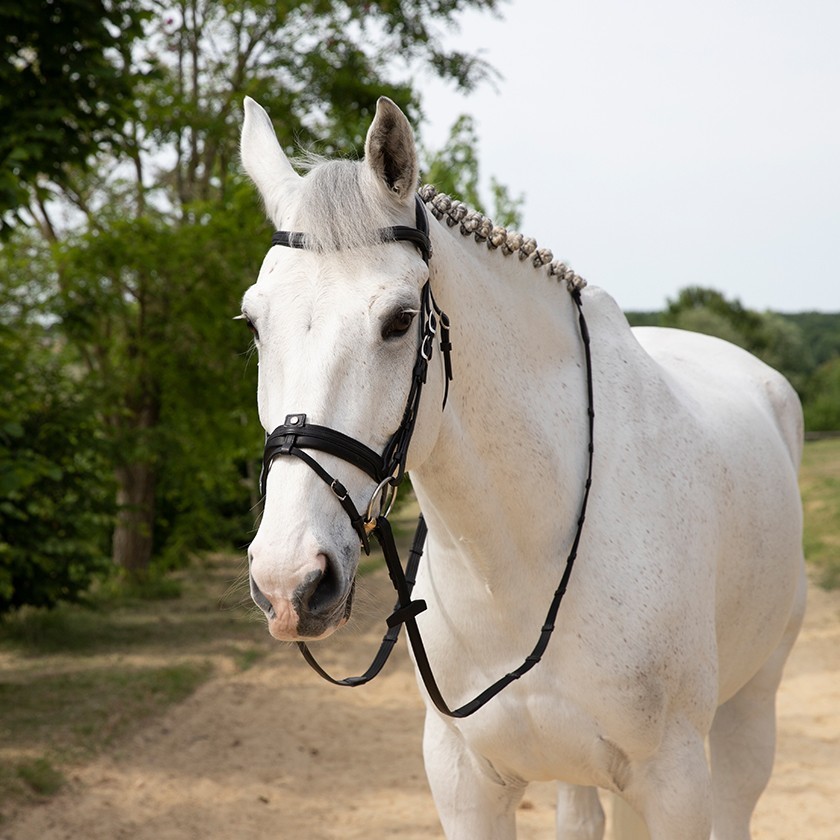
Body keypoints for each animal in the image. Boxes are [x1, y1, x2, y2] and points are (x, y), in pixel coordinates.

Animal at [236, 95, 808, 840]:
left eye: (400, 320)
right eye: (253, 323)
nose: (290, 582)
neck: (519, 562)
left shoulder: (675, 782)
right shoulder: (465, 782)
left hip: (750, 707)